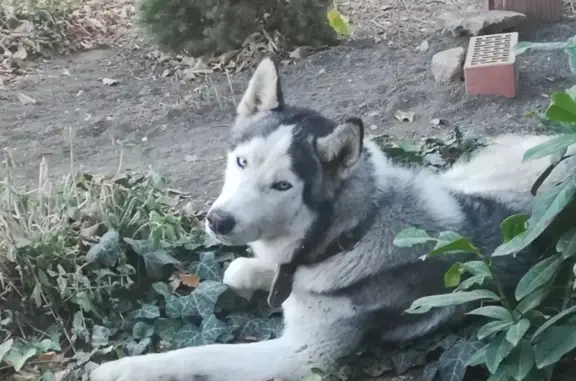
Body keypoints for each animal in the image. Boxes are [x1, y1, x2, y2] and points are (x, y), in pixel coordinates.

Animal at [89, 56, 572, 380]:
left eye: (283, 186)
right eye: (242, 162)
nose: (218, 221)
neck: (352, 235)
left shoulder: (301, 355)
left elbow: (201, 353)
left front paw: (125, 368)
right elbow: (239, 271)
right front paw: (252, 274)